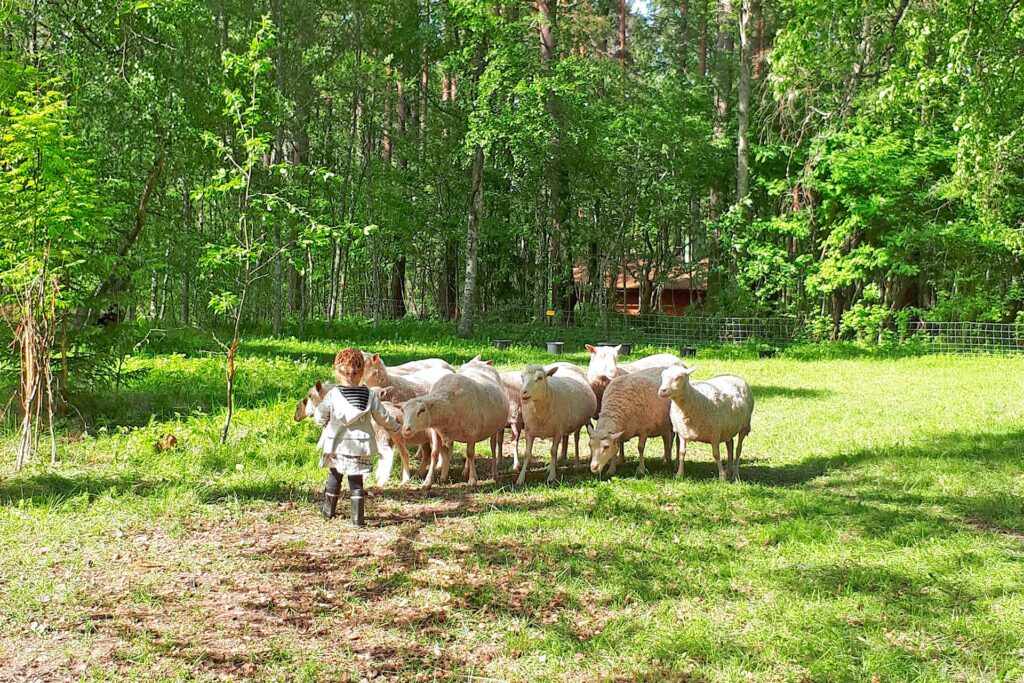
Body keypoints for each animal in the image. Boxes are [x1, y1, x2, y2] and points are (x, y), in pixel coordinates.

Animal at [401, 356, 509, 489]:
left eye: (421, 410)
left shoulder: (472, 432)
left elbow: (470, 453)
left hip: (494, 429)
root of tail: (482, 364)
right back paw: (465, 471)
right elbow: (434, 454)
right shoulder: (436, 432)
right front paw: (428, 482)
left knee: (492, 448)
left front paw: (472, 479)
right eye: (403, 410)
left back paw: (494, 473)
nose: (406, 429)